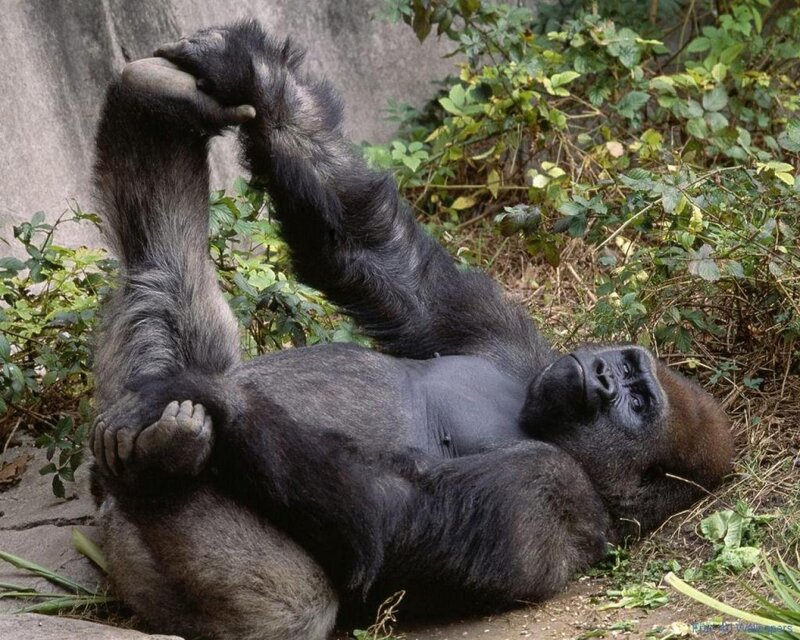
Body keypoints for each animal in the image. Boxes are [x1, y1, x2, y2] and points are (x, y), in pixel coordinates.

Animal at [89, 20, 734, 640]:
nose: (601, 376)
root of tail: (107, 541)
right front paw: (252, 74)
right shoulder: (510, 339)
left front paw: (212, 398)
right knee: (162, 276)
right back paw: (152, 103)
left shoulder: (557, 496)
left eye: (637, 403)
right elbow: (379, 257)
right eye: (625, 368)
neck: (536, 419)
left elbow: (385, 513)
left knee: (294, 606)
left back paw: (162, 466)